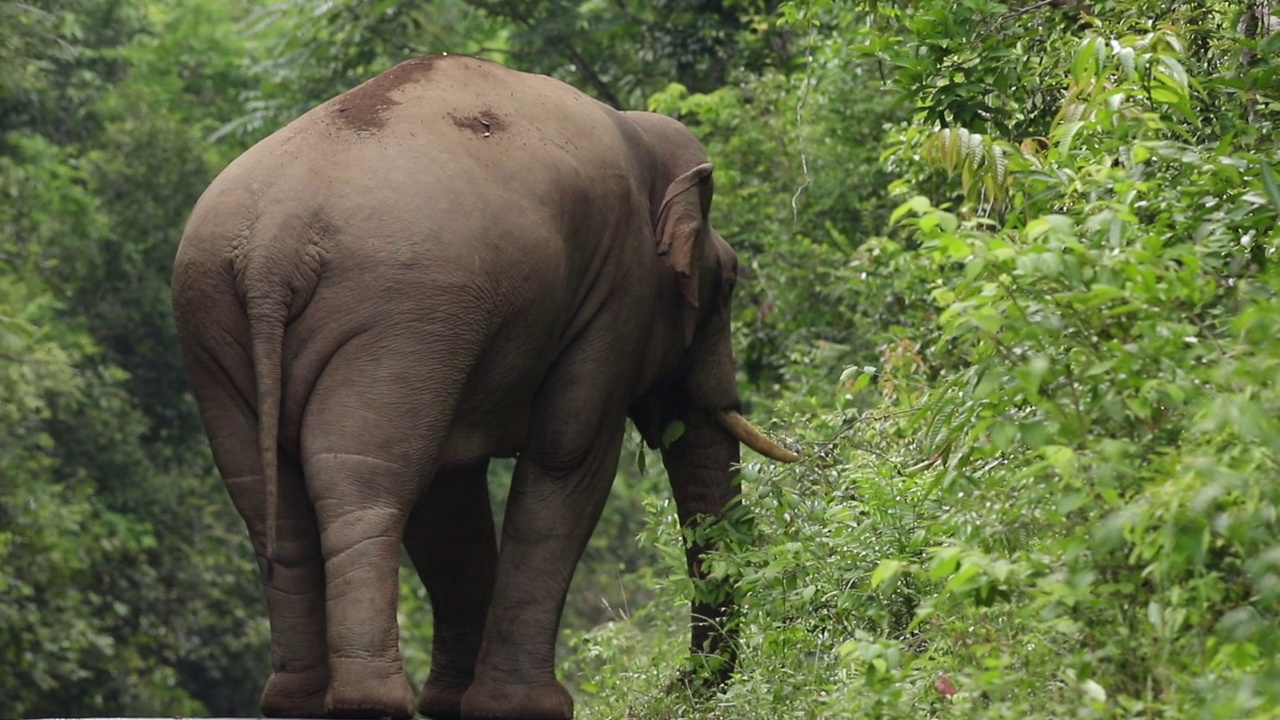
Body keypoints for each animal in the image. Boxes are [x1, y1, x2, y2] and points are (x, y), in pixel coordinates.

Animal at [171, 54, 798, 717]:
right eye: (726, 286)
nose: (680, 686)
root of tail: (272, 246)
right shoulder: (614, 295)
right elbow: (568, 455)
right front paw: (528, 707)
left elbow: (449, 495)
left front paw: (454, 704)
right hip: (397, 319)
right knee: (363, 482)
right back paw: (372, 702)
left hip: (212, 326)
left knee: (270, 501)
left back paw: (299, 704)